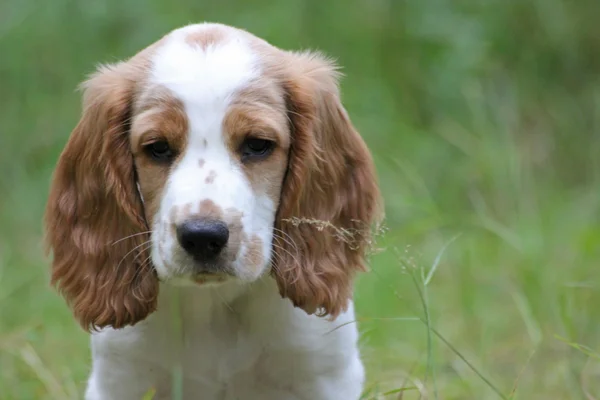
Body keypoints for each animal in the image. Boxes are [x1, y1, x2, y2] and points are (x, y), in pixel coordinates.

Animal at [43, 22, 380, 400]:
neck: (214, 304)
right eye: (157, 148)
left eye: (258, 145)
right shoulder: (121, 380)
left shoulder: (324, 375)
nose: (202, 237)